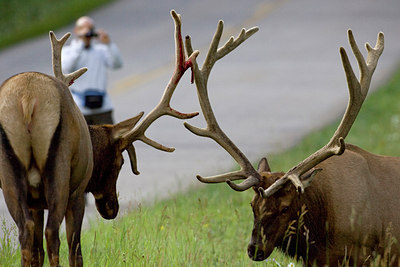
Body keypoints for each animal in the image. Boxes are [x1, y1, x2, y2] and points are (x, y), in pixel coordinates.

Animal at [0, 9, 198, 266]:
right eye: (120, 163)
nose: (112, 209)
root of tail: (27, 99)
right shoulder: (77, 192)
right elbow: (76, 251)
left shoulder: (36, 203)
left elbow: (37, 253)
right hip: (60, 173)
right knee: (52, 234)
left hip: (10, 177)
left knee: (26, 233)